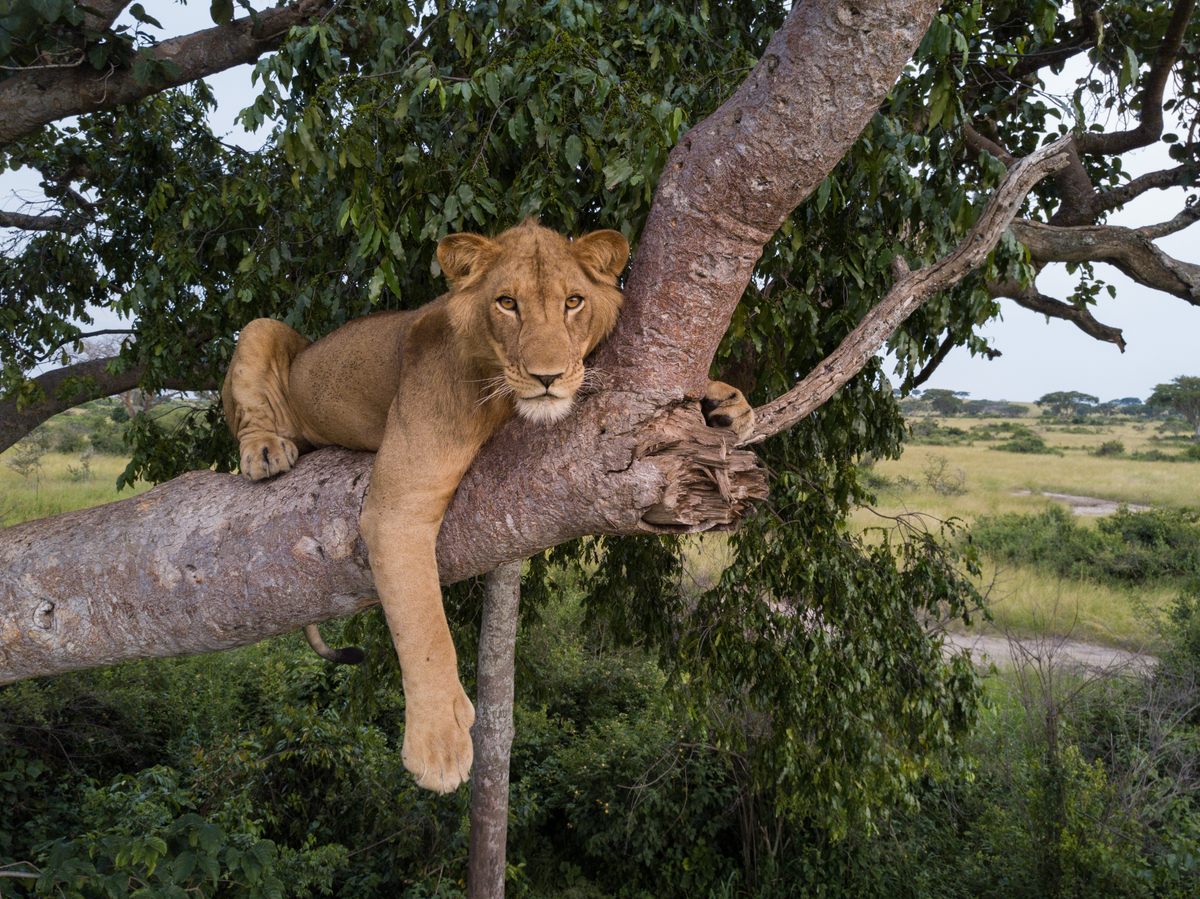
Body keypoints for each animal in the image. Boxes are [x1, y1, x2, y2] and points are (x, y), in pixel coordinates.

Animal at [220, 219, 753, 792]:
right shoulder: (397, 507)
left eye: (573, 302)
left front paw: (725, 401)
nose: (547, 377)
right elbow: (423, 623)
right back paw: (265, 451)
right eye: (506, 303)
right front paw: (438, 742)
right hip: (261, 330)